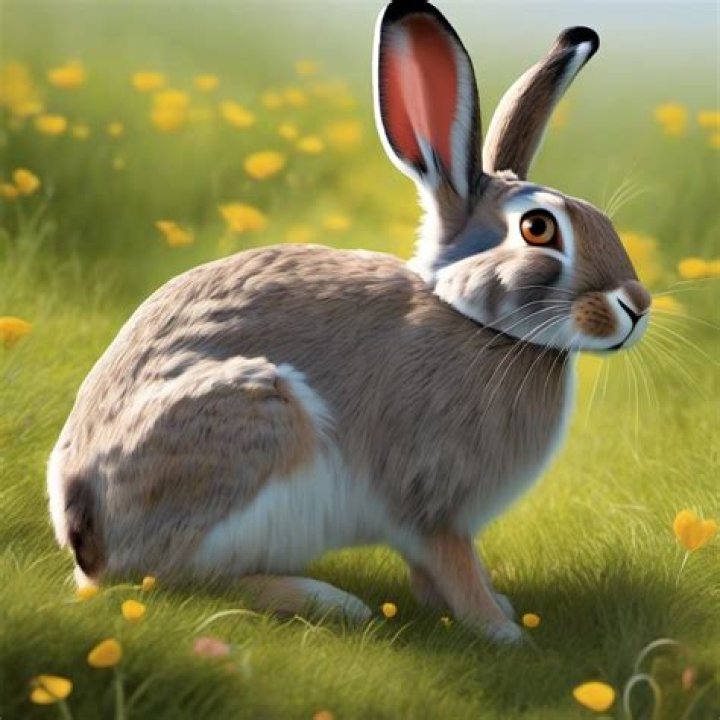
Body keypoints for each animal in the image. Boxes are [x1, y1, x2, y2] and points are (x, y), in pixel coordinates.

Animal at [47, 0, 651, 644]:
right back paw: (325, 600)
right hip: (255, 419)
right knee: (166, 580)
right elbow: (456, 568)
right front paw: (503, 633)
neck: (477, 324)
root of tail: (84, 532)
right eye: (538, 228)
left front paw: (499, 609)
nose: (638, 306)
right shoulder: (433, 505)